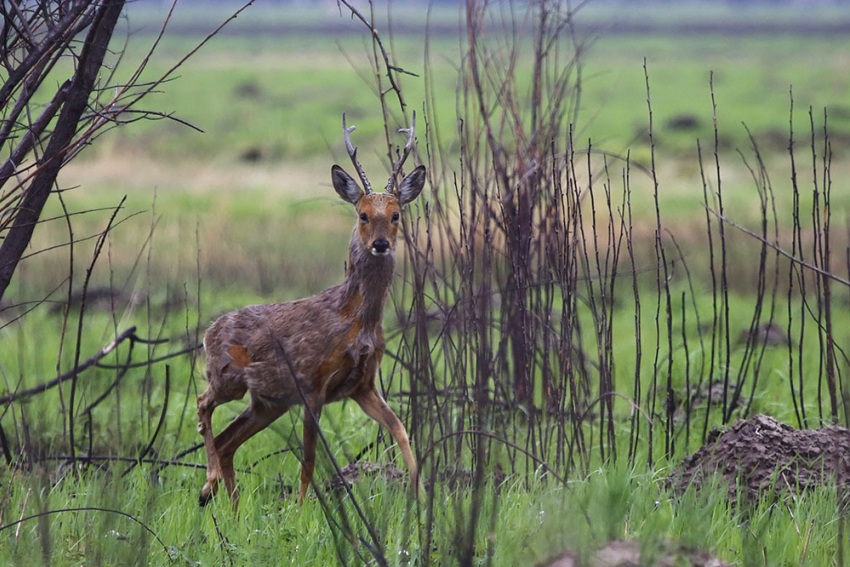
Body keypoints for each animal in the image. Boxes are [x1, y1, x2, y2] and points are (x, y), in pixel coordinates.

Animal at [197, 113, 424, 508]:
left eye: (396, 215)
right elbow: (309, 457)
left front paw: (422, 495)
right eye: (363, 215)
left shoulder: (363, 385)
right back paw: (208, 484)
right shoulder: (311, 382)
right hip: (226, 377)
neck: (356, 319)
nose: (381, 244)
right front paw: (301, 509)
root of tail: (209, 331)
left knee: (227, 441)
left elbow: (400, 429)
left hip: (267, 402)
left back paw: (232, 507)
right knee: (203, 404)